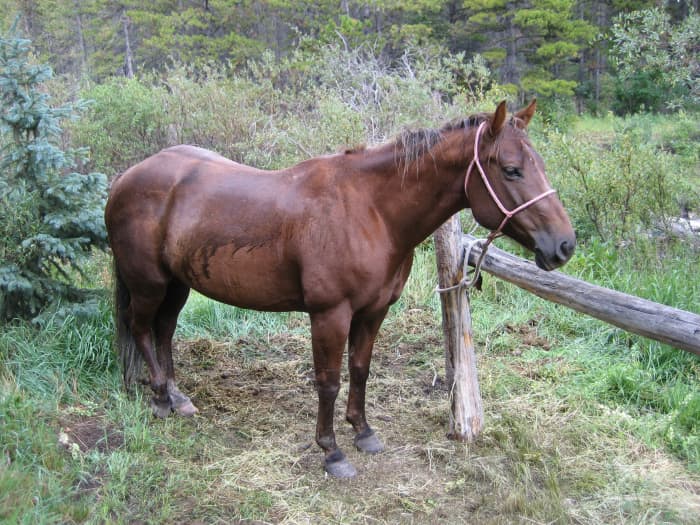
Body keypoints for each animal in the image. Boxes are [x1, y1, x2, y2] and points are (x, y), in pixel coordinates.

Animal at [104, 100, 576, 476]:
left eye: (539, 165)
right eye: (511, 170)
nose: (564, 245)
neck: (371, 212)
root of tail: (126, 178)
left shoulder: (374, 310)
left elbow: (360, 370)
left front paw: (363, 432)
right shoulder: (330, 314)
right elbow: (328, 381)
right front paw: (332, 452)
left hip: (177, 285)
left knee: (164, 331)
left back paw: (177, 396)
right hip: (148, 284)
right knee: (143, 329)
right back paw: (160, 399)